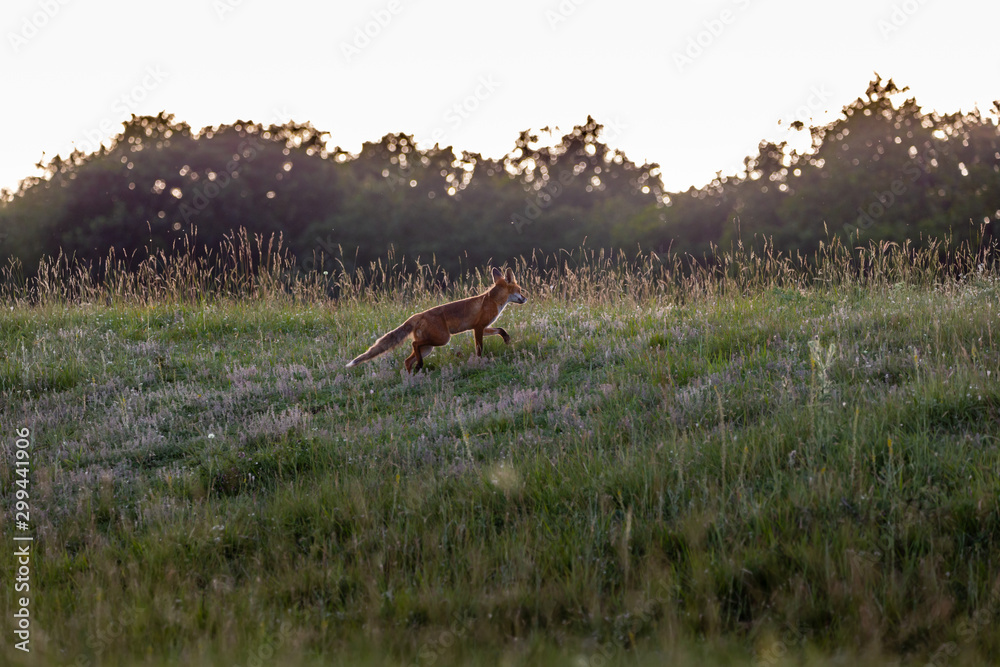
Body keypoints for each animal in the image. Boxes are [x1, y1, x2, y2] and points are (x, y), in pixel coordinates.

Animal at [346, 267, 528, 373]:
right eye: (520, 290)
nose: (526, 299)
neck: (493, 301)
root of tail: (416, 315)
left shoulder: (482, 327)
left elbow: (500, 330)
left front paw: (506, 338)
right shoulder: (478, 328)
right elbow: (479, 349)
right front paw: (480, 362)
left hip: (429, 348)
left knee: (408, 360)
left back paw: (412, 378)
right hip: (441, 340)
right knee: (414, 345)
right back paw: (418, 368)